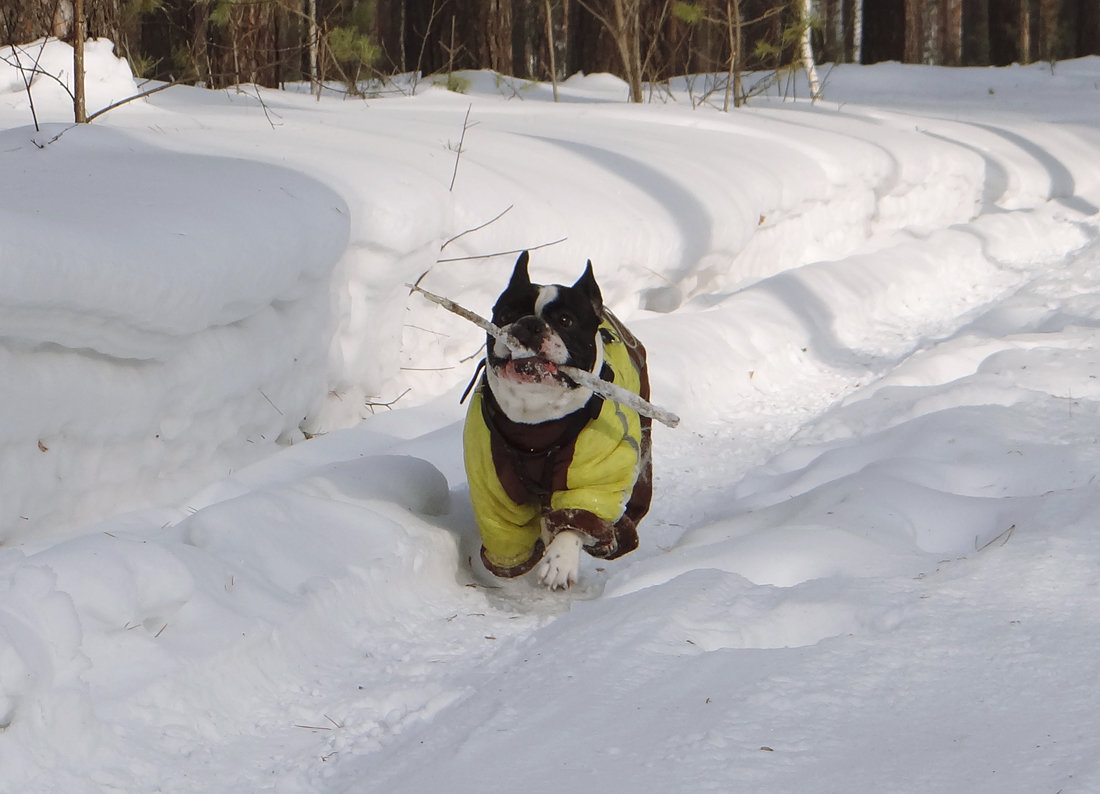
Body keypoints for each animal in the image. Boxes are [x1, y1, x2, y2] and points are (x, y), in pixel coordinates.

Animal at [459, 250, 646, 585]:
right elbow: (510, 540)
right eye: (506, 314)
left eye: (565, 321)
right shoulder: (496, 488)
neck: (536, 420)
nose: (530, 324)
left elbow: (576, 517)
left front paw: (560, 561)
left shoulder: (593, 477)